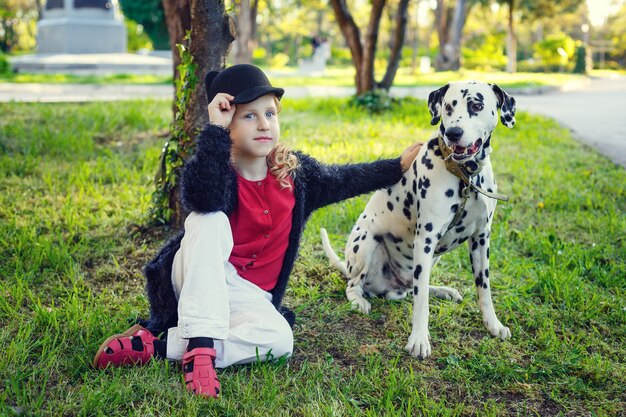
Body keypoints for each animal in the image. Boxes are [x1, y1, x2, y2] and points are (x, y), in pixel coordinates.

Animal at [320, 80, 516, 358]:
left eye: (476, 105)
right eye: (448, 107)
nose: (454, 132)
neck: (465, 176)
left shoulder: (481, 239)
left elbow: (484, 289)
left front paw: (493, 324)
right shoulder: (426, 239)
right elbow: (421, 301)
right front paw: (419, 339)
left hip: (431, 259)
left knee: (415, 285)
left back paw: (443, 291)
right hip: (367, 244)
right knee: (357, 284)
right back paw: (359, 300)